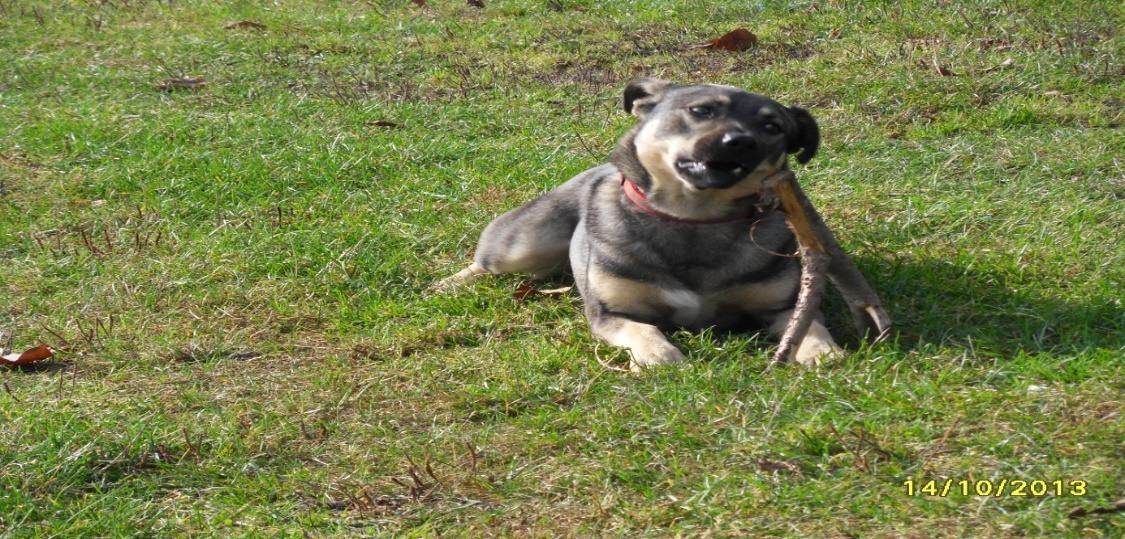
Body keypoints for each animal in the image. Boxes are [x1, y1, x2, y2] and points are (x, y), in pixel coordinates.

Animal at [434, 78, 841, 369]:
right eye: (702, 110)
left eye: (772, 126)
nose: (740, 141)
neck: (694, 216)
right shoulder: (610, 313)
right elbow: (641, 328)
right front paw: (660, 355)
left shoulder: (781, 305)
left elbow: (810, 324)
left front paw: (821, 350)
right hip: (523, 243)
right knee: (487, 261)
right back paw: (448, 284)